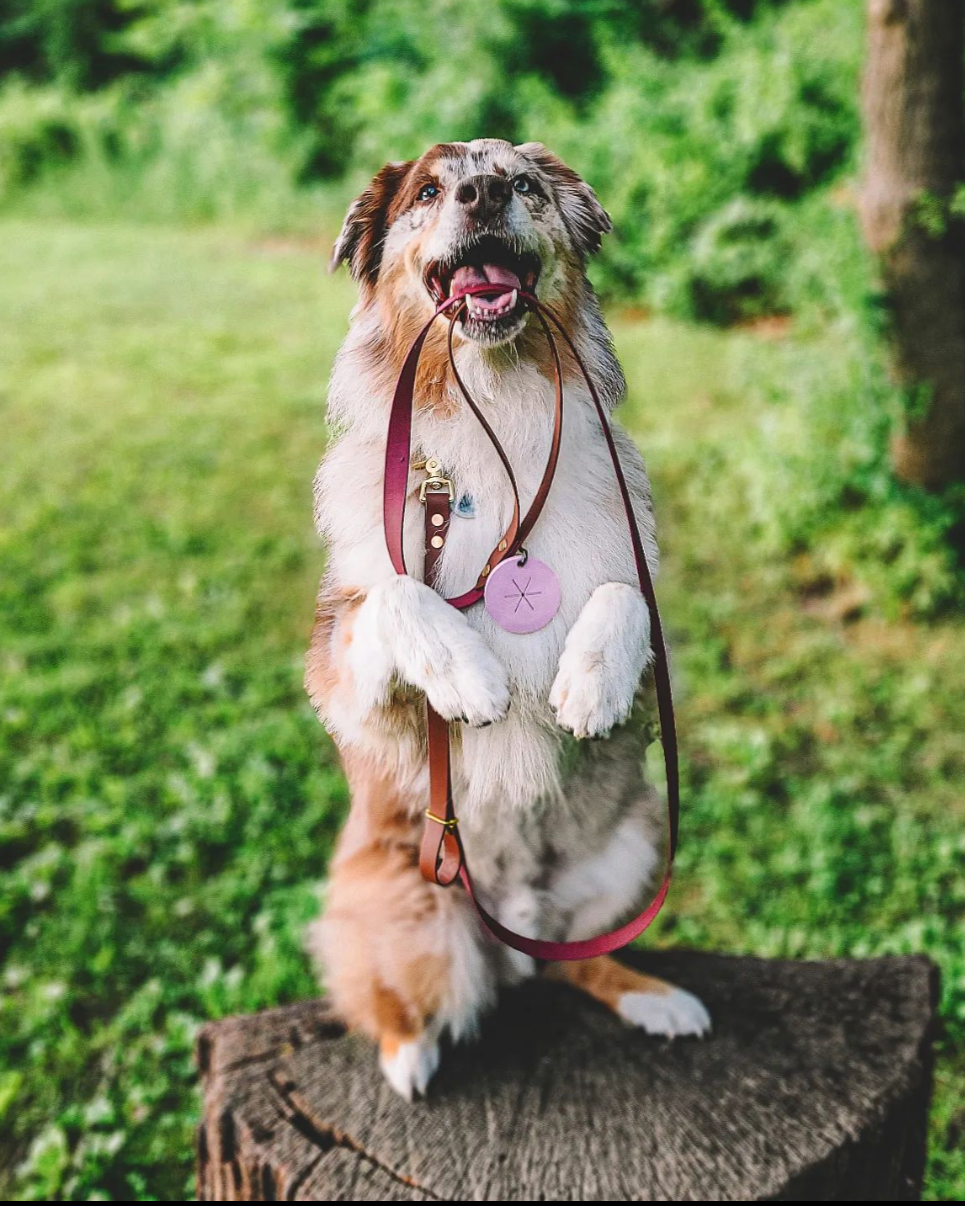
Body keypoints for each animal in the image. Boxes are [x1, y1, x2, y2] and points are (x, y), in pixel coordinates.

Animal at [307, 136, 709, 1099]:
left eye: (522, 182)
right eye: (427, 191)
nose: (485, 194)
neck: (493, 412)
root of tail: (512, 928)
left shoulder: (654, 633)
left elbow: (623, 594)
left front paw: (590, 686)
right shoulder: (339, 671)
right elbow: (398, 594)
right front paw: (467, 672)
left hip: (634, 840)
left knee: (578, 962)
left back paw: (655, 999)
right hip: (411, 906)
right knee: (395, 992)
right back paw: (407, 1054)